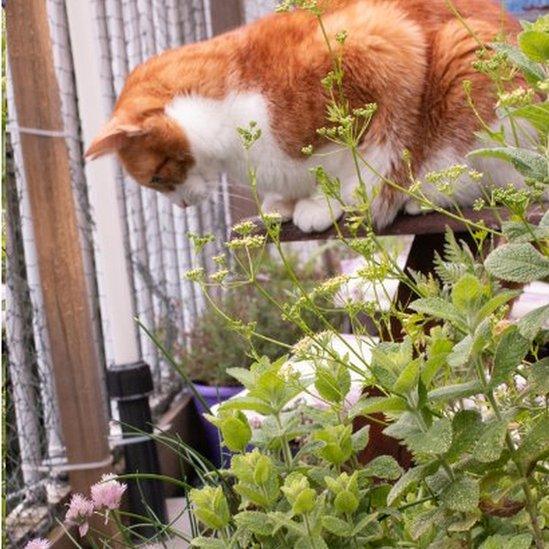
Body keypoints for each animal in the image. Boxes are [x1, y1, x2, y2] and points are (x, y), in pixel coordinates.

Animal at [84, 0, 524, 231]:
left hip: (464, 62)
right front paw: (285, 202)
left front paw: (330, 203)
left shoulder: (384, 46)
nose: (182, 208)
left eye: (157, 179)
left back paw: (427, 194)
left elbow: (375, 157)